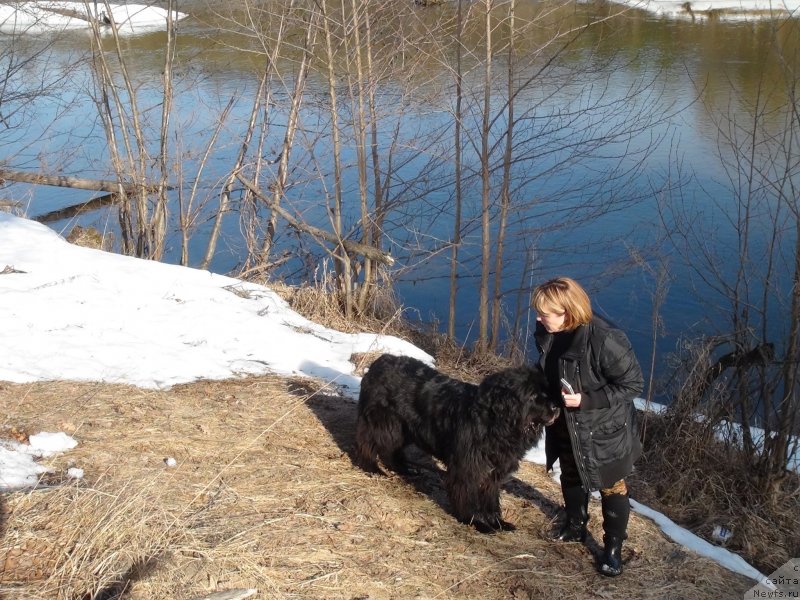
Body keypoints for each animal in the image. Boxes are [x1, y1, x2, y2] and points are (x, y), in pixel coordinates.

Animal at [354, 354, 560, 532]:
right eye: (532, 395)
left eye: (546, 392)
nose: (556, 407)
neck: (495, 422)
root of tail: (378, 362)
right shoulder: (468, 467)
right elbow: (467, 495)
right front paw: (476, 522)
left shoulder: (494, 471)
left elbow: (490, 499)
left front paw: (497, 522)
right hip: (384, 423)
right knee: (368, 442)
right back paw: (371, 468)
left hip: (403, 428)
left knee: (391, 450)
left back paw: (405, 469)